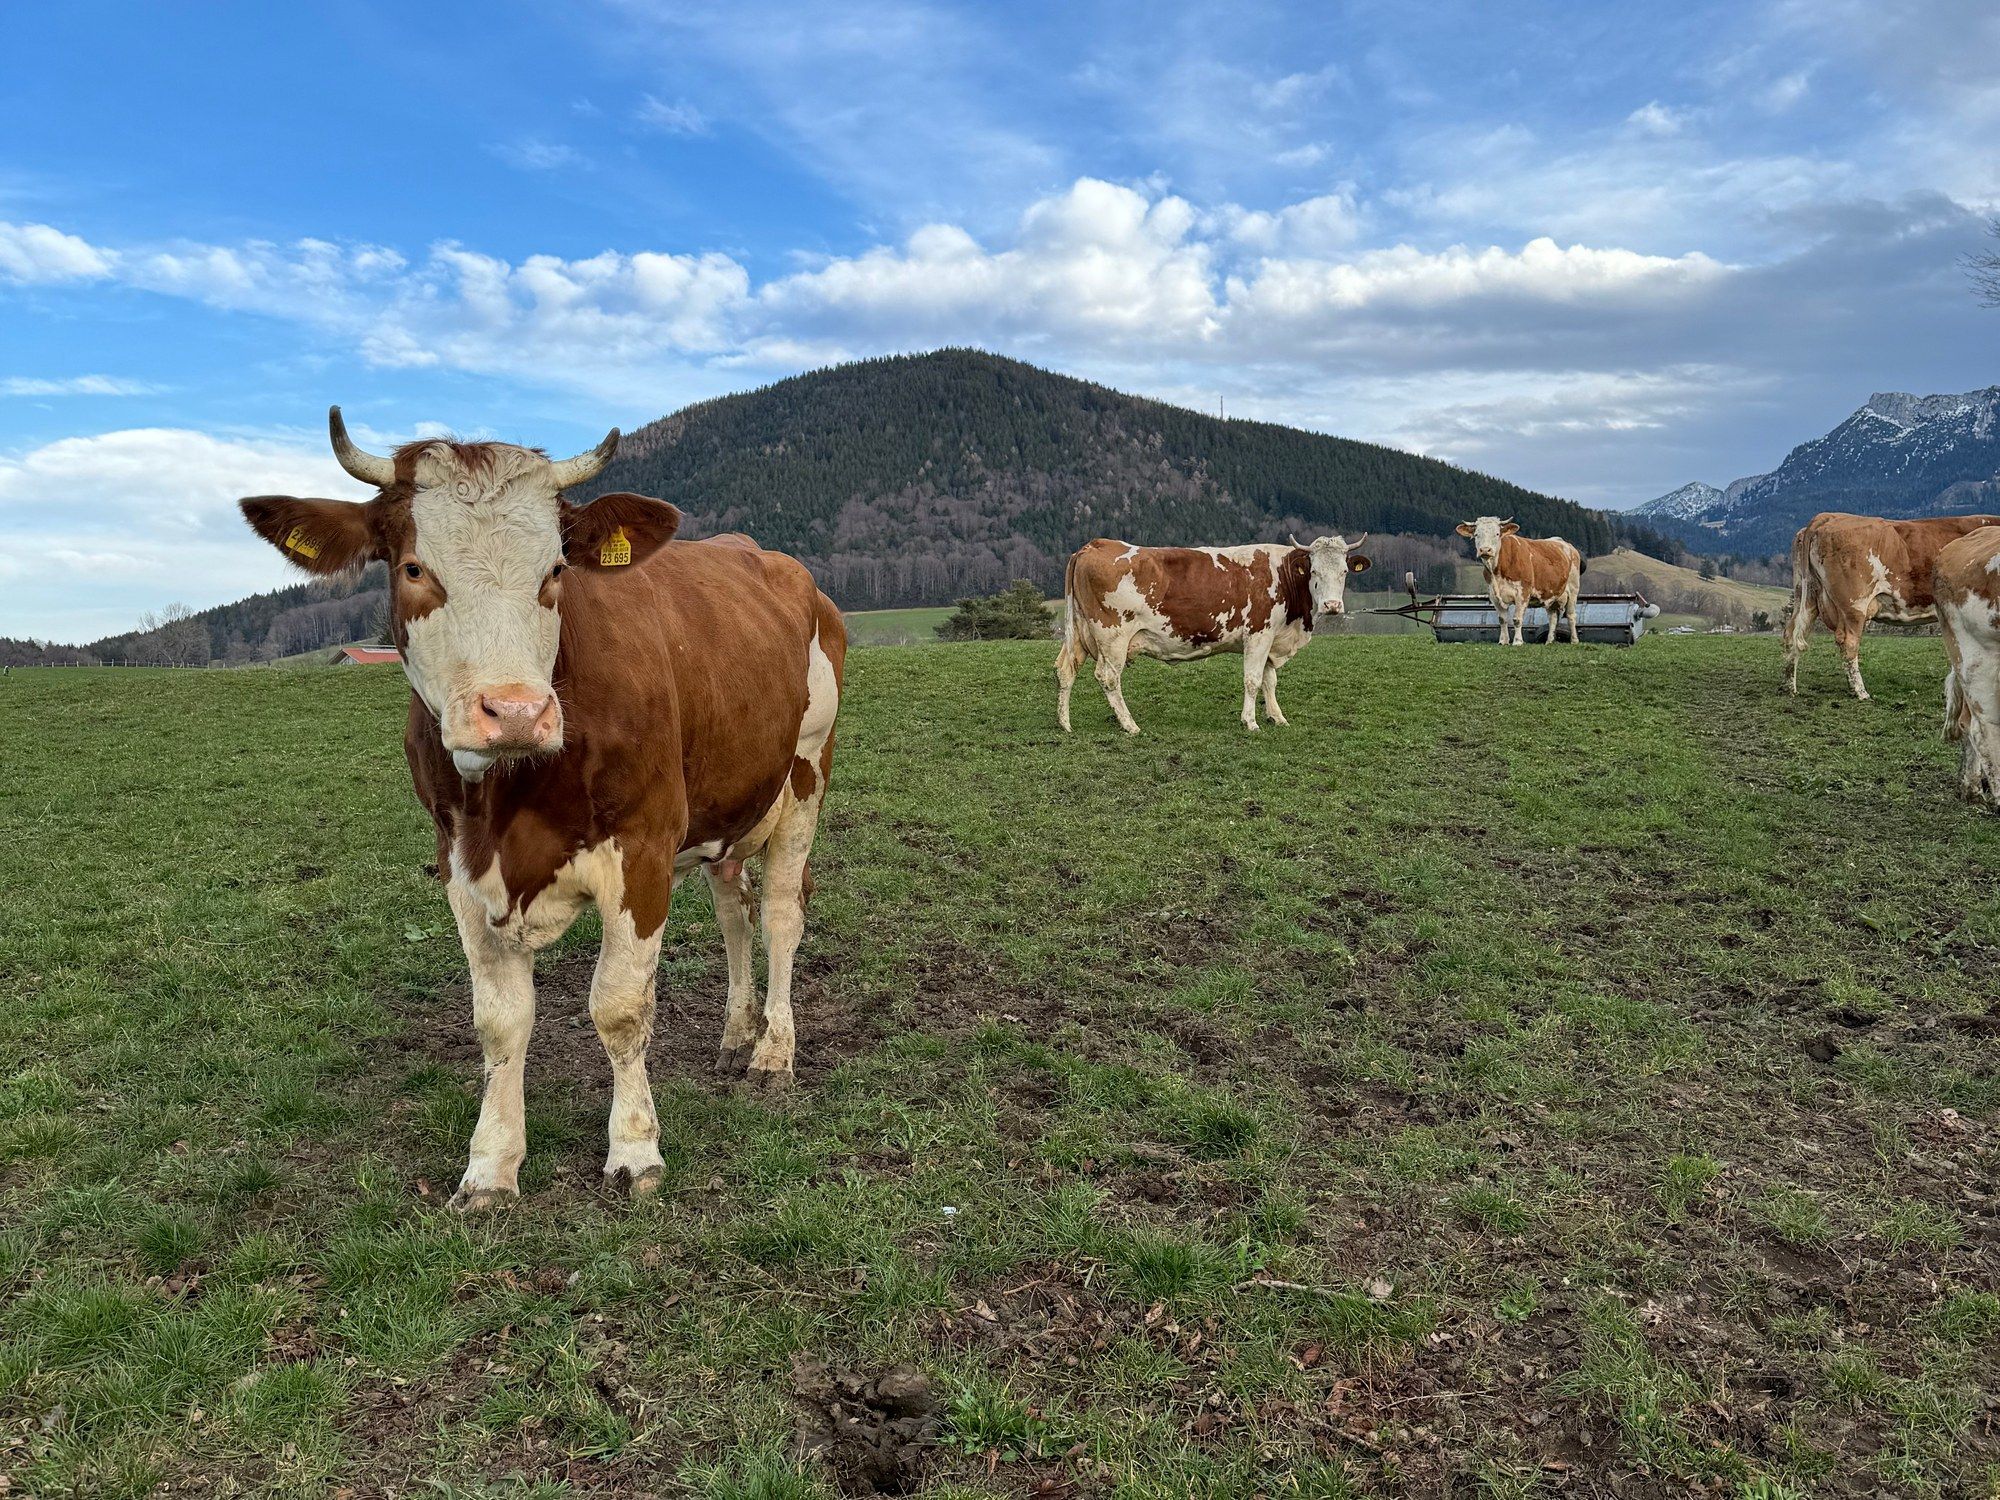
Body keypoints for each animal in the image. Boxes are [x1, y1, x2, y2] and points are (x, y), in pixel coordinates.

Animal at [239, 410, 845, 1208]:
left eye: (555, 571)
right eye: (413, 569)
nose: (518, 712)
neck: (511, 797)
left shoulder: (642, 850)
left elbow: (620, 1007)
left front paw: (635, 1150)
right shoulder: (460, 862)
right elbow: (501, 1022)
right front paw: (491, 1166)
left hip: (805, 771)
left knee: (777, 911)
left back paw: (773, 1050)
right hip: (731, 798)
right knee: (732, 908)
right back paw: (735, 1033)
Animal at [1055, 534, 1371, 735]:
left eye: (1344, 571)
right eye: (1314, 571)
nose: (1332, 606)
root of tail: (1094, 545)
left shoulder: (1272, 638)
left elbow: (1270, 680)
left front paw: (1277, 717)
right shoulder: (1259, 634)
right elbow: (1253, 680)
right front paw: (1250, 722)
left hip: (1081, 633)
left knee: (1065, 669)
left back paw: (1065, 724)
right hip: (1113, 637)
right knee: (1108, 677)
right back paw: (1130, 725)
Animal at [1456, 517, 1582, 645]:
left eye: (1497, 534)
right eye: (1476, 534)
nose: (1485, 550)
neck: (1498, 572)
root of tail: (1565, 544)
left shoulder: (1522, 593)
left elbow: (1517, 619)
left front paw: (1517, 641)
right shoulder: (1494, 595)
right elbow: (1502, 620)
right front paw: (1503, 641)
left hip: (1573, 590)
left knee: (1571, 615)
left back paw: (1574, 640)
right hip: (1551, 594)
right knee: (1552, 617)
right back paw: (1549, 641)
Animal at [1782, 512, 2000, 699]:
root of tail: (1829, 516)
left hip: (1806, 594)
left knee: (1791, 633)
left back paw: (1789, 687)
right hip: (1854, 605)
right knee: (1849, 643)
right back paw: (1860, 692)